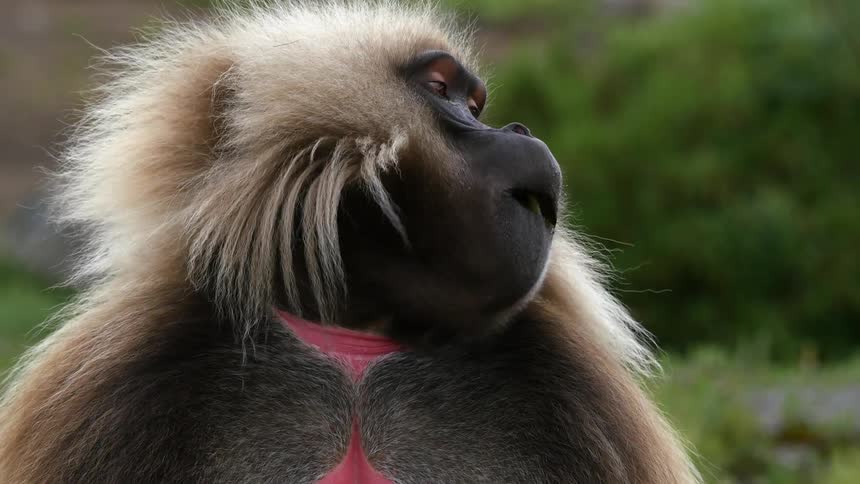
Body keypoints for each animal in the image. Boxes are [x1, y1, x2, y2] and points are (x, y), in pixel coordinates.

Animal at [0, 2, 699, 483]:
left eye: (476, 103)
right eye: (443, 91)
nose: (520, 130)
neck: (358, 336)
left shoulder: (581, 401)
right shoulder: (111, 385)